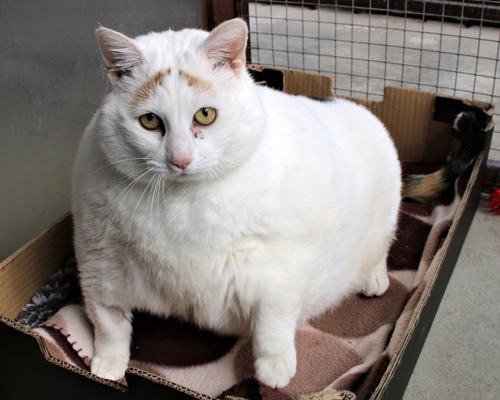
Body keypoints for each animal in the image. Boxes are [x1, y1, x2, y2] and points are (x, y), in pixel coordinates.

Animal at [71, 18, 402, 388]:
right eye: (150, 121)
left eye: (205, 115)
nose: (180, 160)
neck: (182, 203)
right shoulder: (99, 266)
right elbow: (108, 323)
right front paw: (107, 364)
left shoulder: (281, 271)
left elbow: (273, 321)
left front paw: (274, 369)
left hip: (385, 216)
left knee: (381, 248)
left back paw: (374, 281)